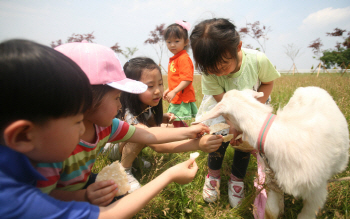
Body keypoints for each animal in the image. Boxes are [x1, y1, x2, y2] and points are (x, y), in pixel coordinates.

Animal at [196, 86, 348, 218]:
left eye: (227, 117)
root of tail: (310, 87)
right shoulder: (274, 179)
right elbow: (271, 211)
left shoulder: (316, 192)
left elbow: (306, 215)